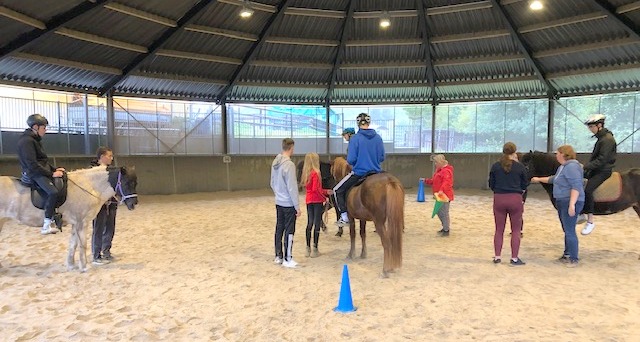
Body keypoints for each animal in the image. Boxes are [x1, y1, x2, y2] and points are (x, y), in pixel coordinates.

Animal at [1, 166, 138, 272]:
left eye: (135, 184)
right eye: (127, 183)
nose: (134, 204)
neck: (89, 186)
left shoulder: (75, 223)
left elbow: (73, 244)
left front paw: (71, 265)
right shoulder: (82, 222)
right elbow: (83, 245)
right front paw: (84, 267)